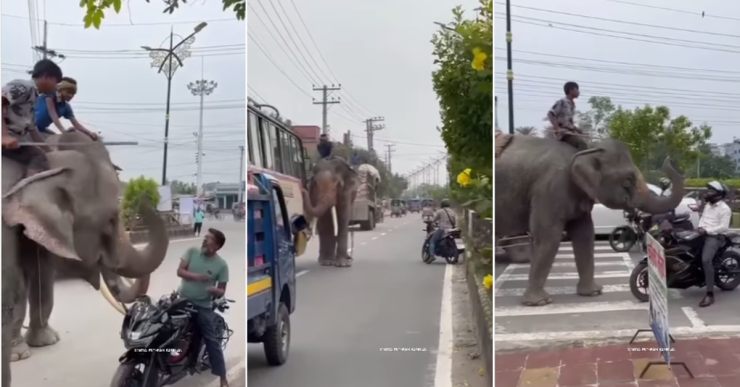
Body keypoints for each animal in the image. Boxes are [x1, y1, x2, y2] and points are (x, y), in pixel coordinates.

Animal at [1, 131, 168, 387]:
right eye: (109, 221)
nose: (142, 197)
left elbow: (42, 273)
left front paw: (46, 341)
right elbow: (13, 285)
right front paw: (19, 355)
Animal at [494, 136, 684, 306]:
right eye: (627, 181)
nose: (669, 159)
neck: (584, 150)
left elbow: (584, 234)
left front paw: (593, 293)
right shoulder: (549, 189)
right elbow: (548, 236)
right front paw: (540, 302)